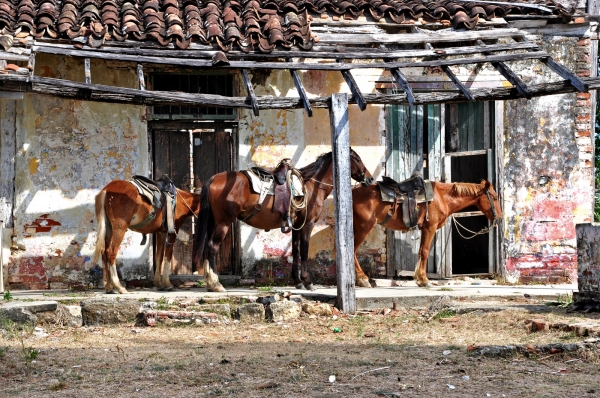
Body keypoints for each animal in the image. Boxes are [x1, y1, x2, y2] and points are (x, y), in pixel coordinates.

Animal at [193, 149, 370, 292]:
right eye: (357, 158)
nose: (369, 179)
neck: (311, 186)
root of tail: (214, 179)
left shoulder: (296, 225)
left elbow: (296, 250)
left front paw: (298, 281)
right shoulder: (308, 224)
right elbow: (304, 251)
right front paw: (308, 281)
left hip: (213, 223)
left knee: (207, 248)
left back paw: (210, 282)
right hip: (223, 223)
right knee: (212, 247)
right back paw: (216, 284)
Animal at [352, 180, 502, 286]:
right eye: (494, 197)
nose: (500, 218)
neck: (442, 197)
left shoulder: (425, 229)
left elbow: (420, 251)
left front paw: (419, 278)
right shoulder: (430, 227)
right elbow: (424, 251)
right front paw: (424, 280)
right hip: (364, 227)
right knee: (352, 250)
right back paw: (362, 279)